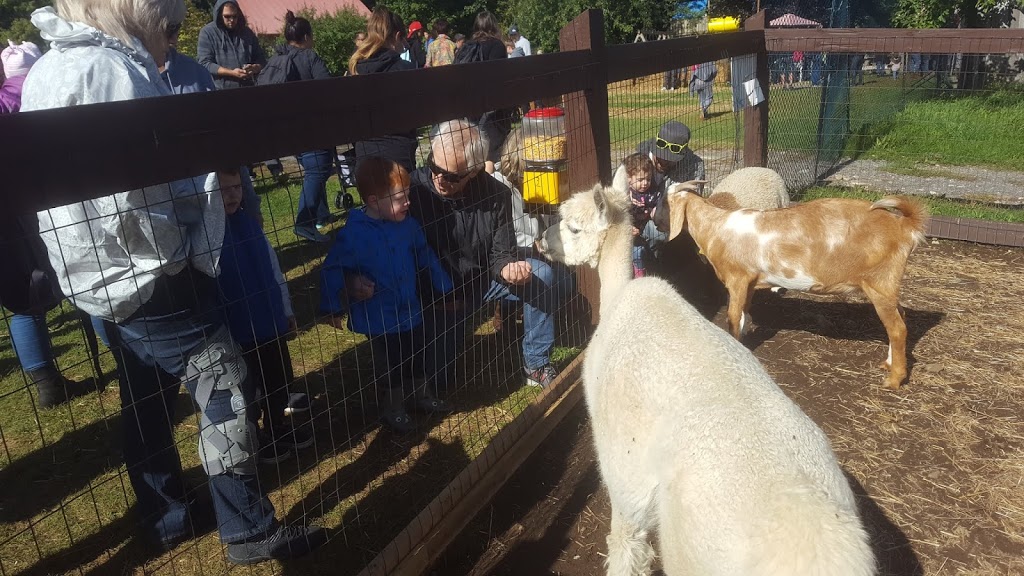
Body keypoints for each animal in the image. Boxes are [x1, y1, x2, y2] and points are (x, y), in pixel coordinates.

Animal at [536, 182, 872, 573]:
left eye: (573, 227)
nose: (540, 241)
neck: (618, 297)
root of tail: (823, 548)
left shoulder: (624, 470)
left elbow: (627, 544)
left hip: (692, 548)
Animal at [659, 182, 933, 389]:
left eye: (663, 201)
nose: (657, 223)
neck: (715, 227)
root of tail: (904, 226)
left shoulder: (738, 278)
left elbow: (733, 316)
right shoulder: (749, 281)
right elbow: (746, 310)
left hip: (880, 283)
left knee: (897, 328)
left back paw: (894, 380)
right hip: (887, 285)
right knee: (902, 317)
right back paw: (889, 363)